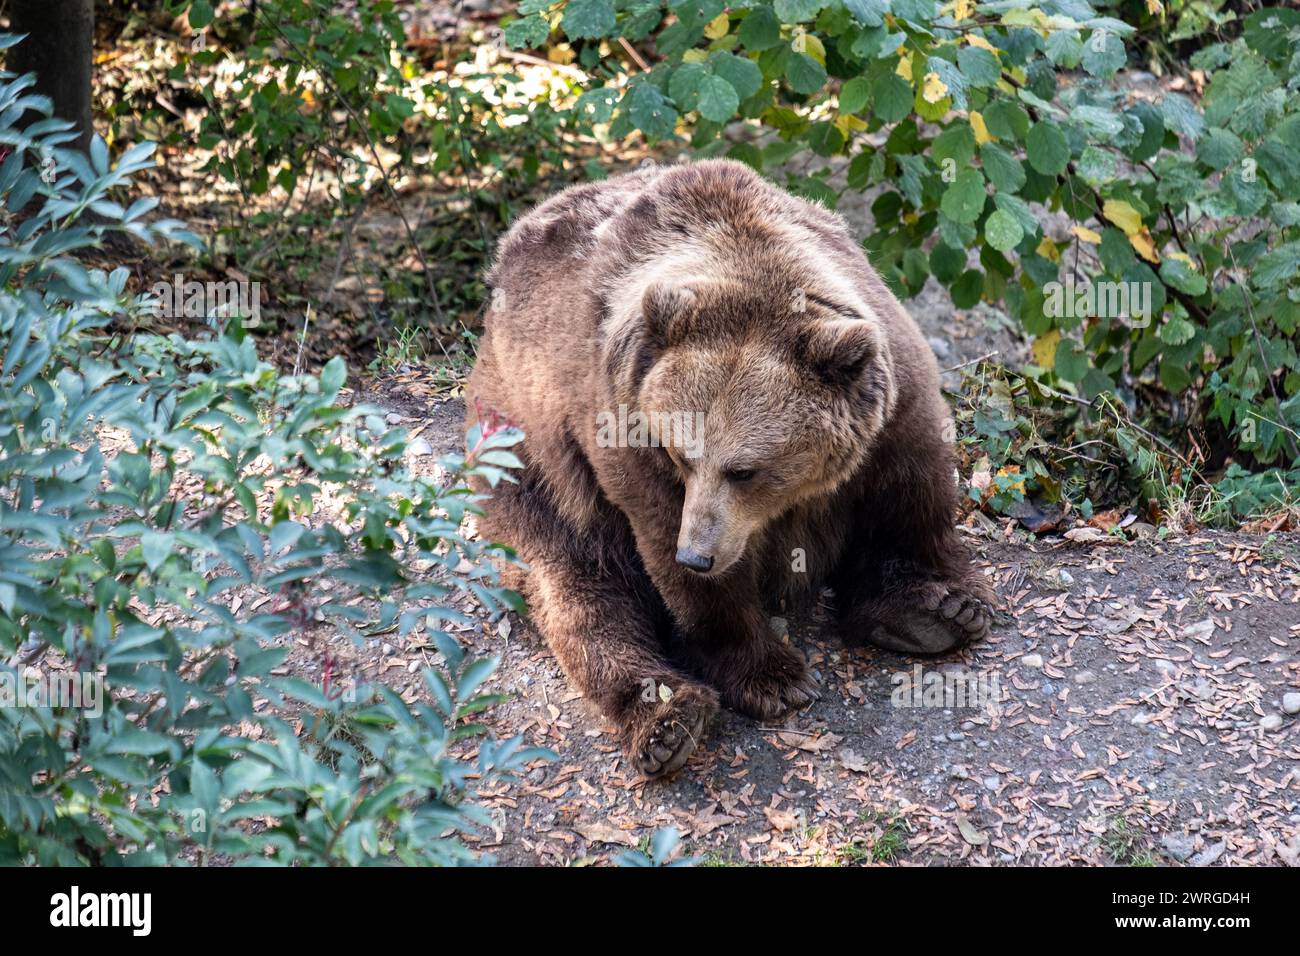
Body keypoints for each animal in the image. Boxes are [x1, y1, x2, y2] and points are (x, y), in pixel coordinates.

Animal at [473, 158, 987, 780]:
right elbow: (669, 549)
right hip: (529, 454)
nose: (697, 554)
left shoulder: (892, 400)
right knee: (576, 582)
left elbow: (908, 494)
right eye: (681, 454)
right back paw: (667, 718)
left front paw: (937, 609)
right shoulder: (626, 429)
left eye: (745, 470)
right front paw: (773, 677)